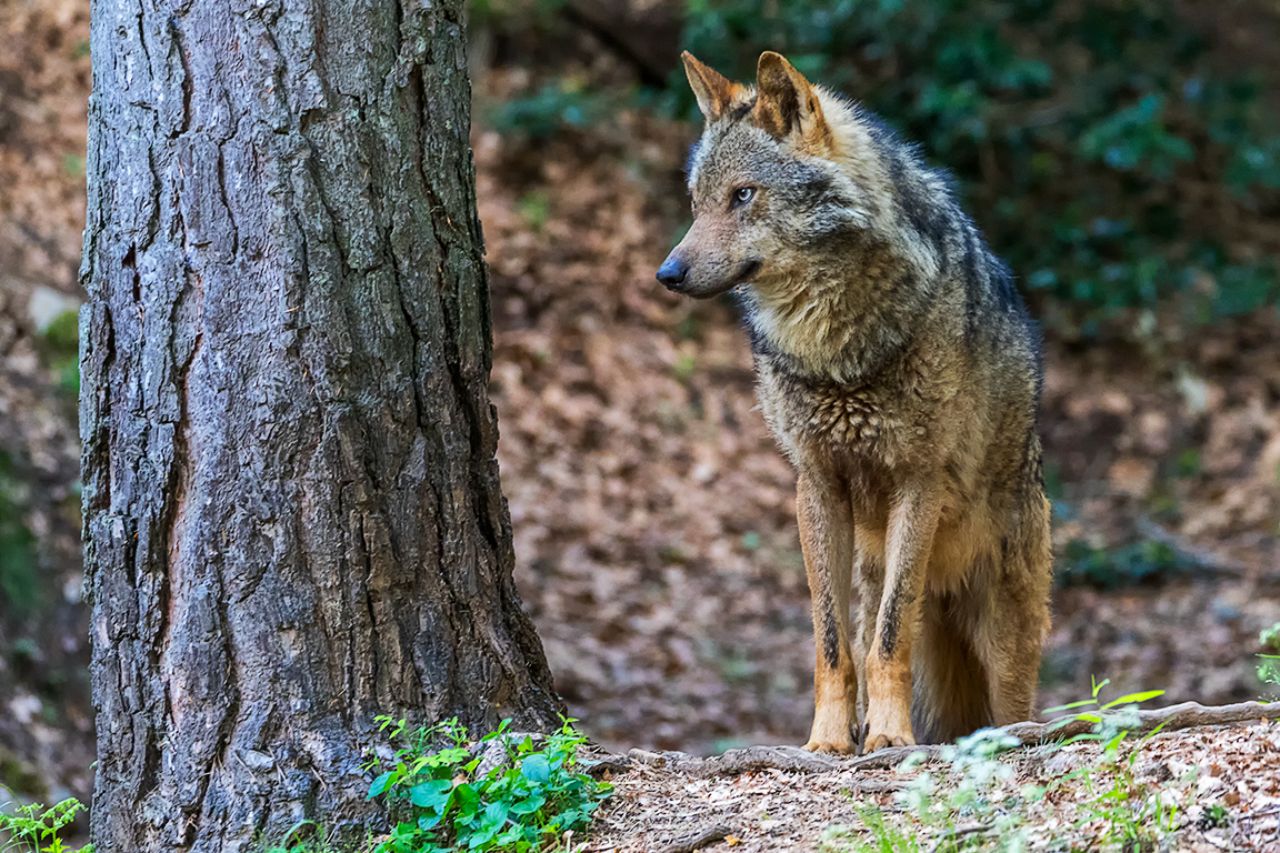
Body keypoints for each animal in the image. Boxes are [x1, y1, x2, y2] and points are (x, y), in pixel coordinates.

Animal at [657, 51, 1053, 753]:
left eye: (744, 195)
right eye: (697, 204)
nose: (667, 274)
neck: (833, 348)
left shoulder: (918, 481)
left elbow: (890, 641)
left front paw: (891, 738)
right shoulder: (816, 484)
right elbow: (833, 644)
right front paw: (828, 740)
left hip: (1004, 630)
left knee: (1011, 705)